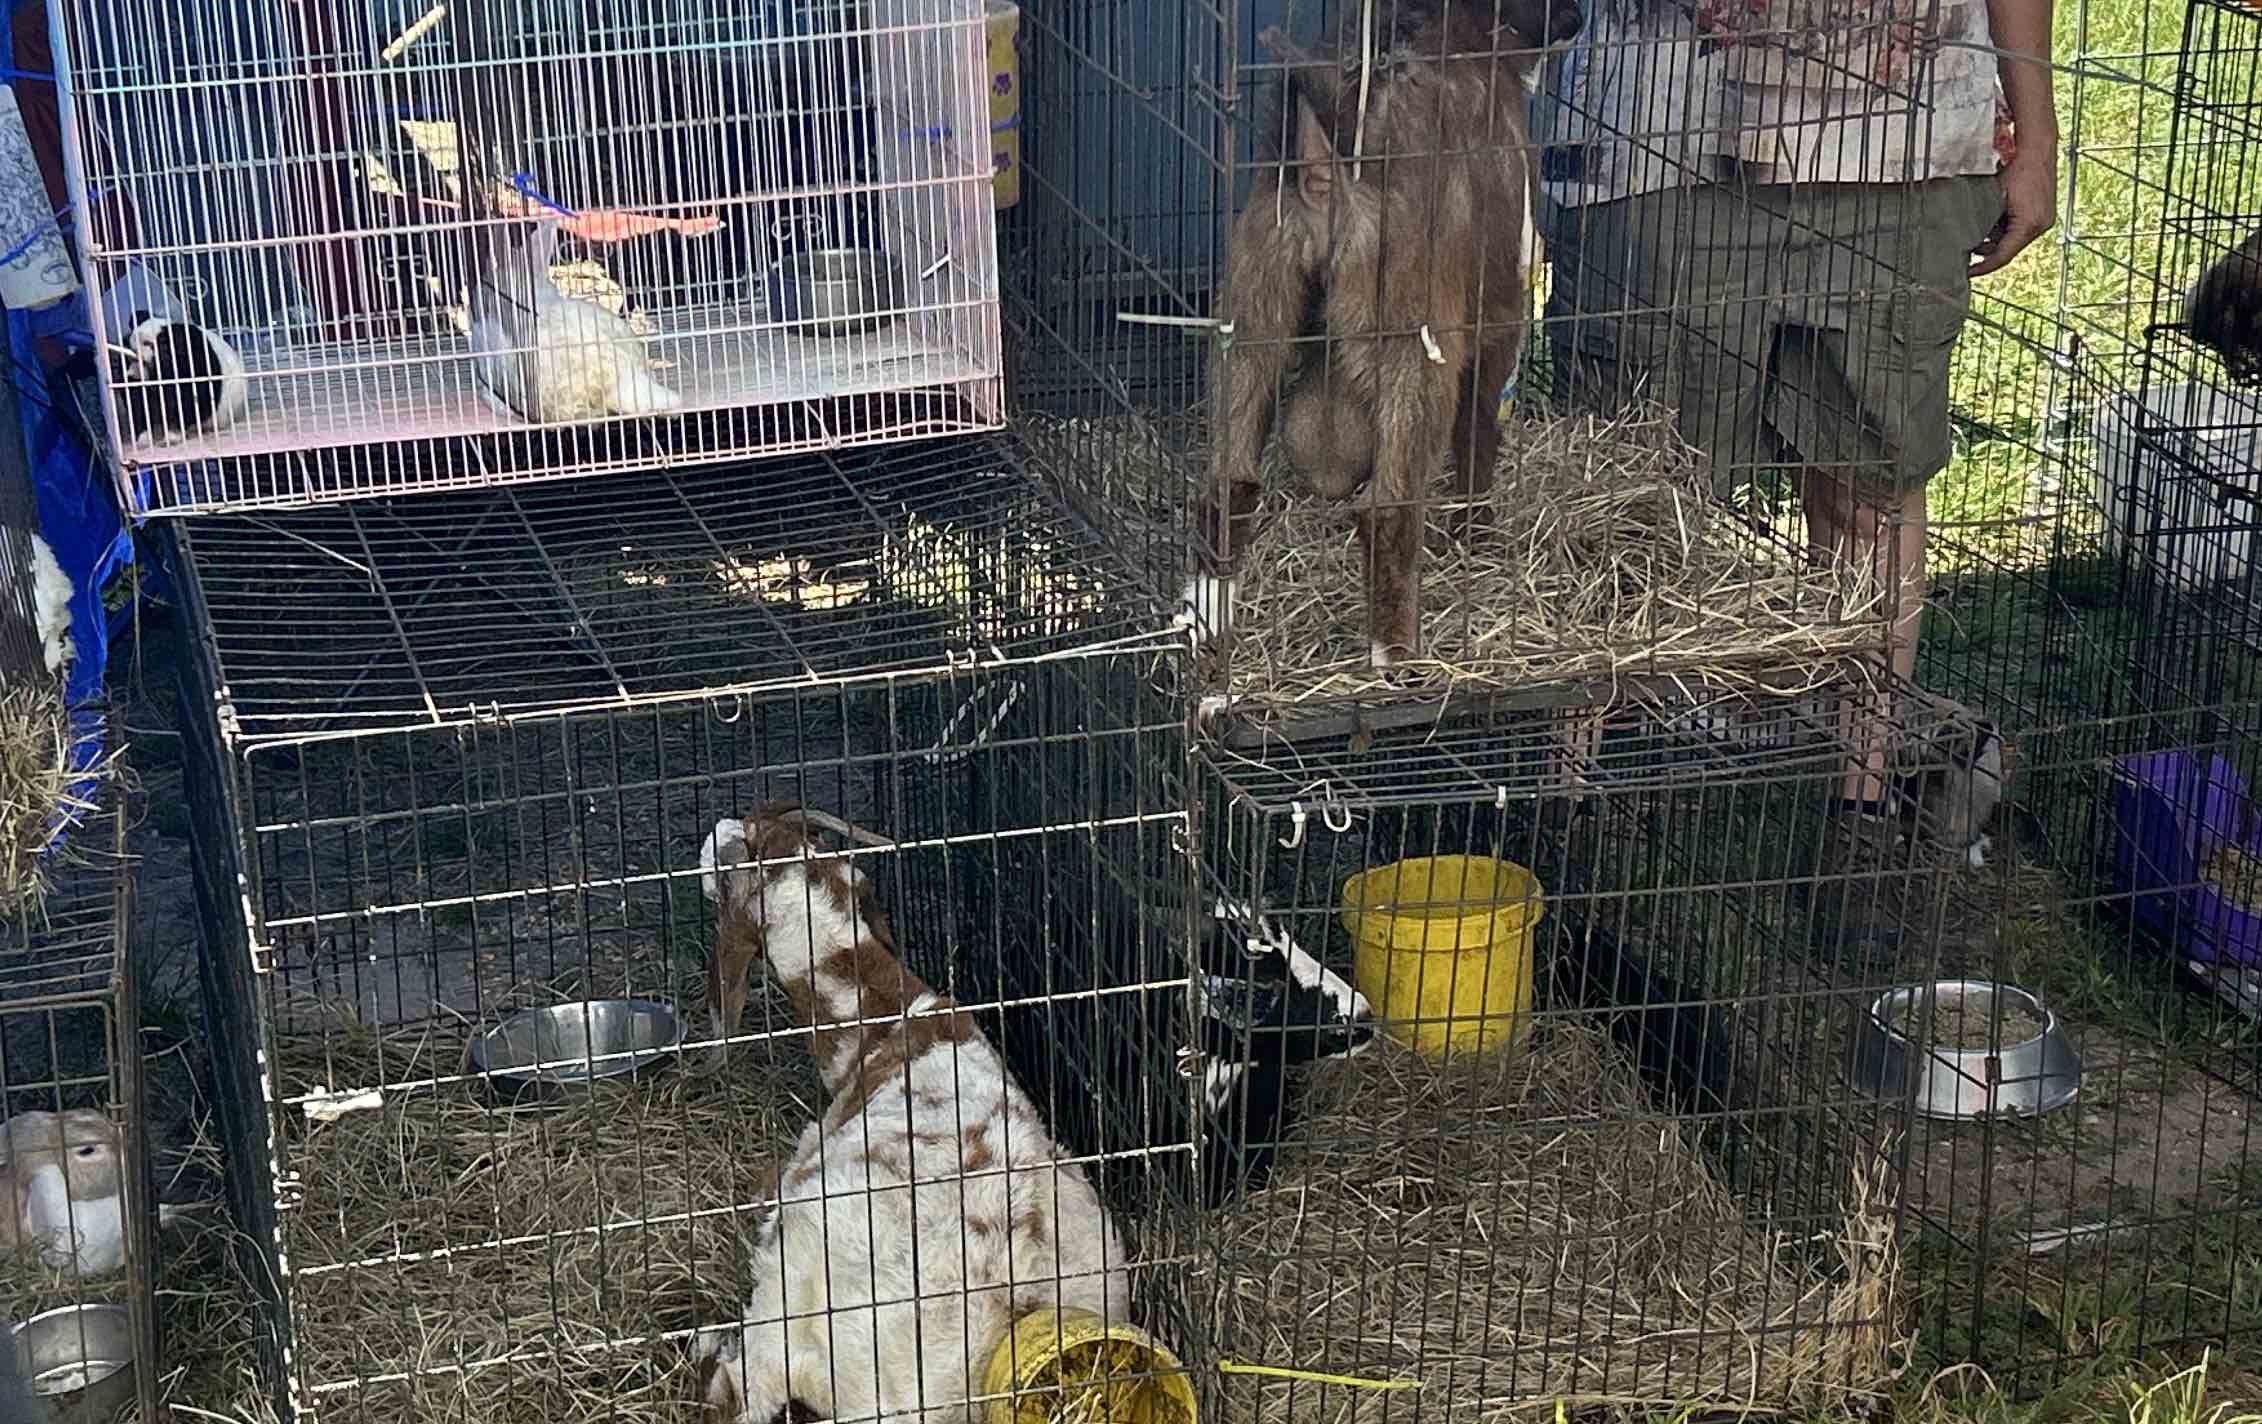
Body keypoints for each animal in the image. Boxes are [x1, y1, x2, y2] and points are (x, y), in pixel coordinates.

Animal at [1185, 0, 1574, 669]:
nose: (1575, 23)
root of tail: (1328, 173)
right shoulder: (1500, 318)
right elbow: (1479, 442)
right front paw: (1476, 534)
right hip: (1416, 364)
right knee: (1387, 513)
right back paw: (1396, 655)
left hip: (1252, 323)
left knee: (1229, 483)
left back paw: (1207, 609)